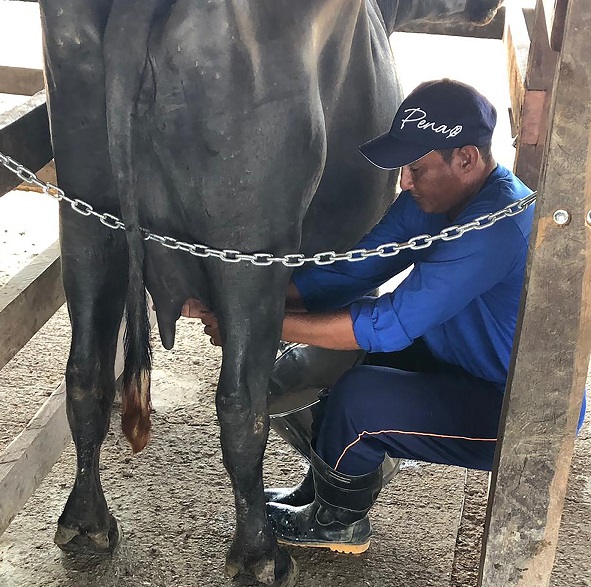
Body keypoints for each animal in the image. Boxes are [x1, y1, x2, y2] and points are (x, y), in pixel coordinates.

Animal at [38, 0, 500, 584]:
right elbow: (321, 374)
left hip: (85, 219)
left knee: (86, 373)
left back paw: (85, 524)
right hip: (251, 247)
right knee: (242, 401)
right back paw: (260, 554)